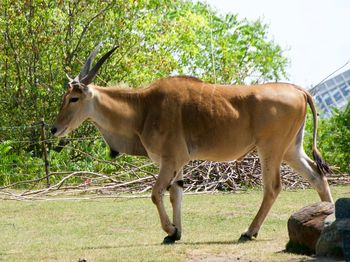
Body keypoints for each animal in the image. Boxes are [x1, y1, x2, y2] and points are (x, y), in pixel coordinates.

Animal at [51, 44, 334, 244]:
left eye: (74, 98)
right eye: (65, 96)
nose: (54, 128)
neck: (143, 107)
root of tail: (299, 90)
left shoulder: (170, 160)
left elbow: (156, 193)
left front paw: (170, 229)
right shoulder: (179, 163)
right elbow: (176, 194)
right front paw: (175, 233)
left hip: (271, 150)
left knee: (273, 187)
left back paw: (249, 231)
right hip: (290, 150)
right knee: (317, 176)